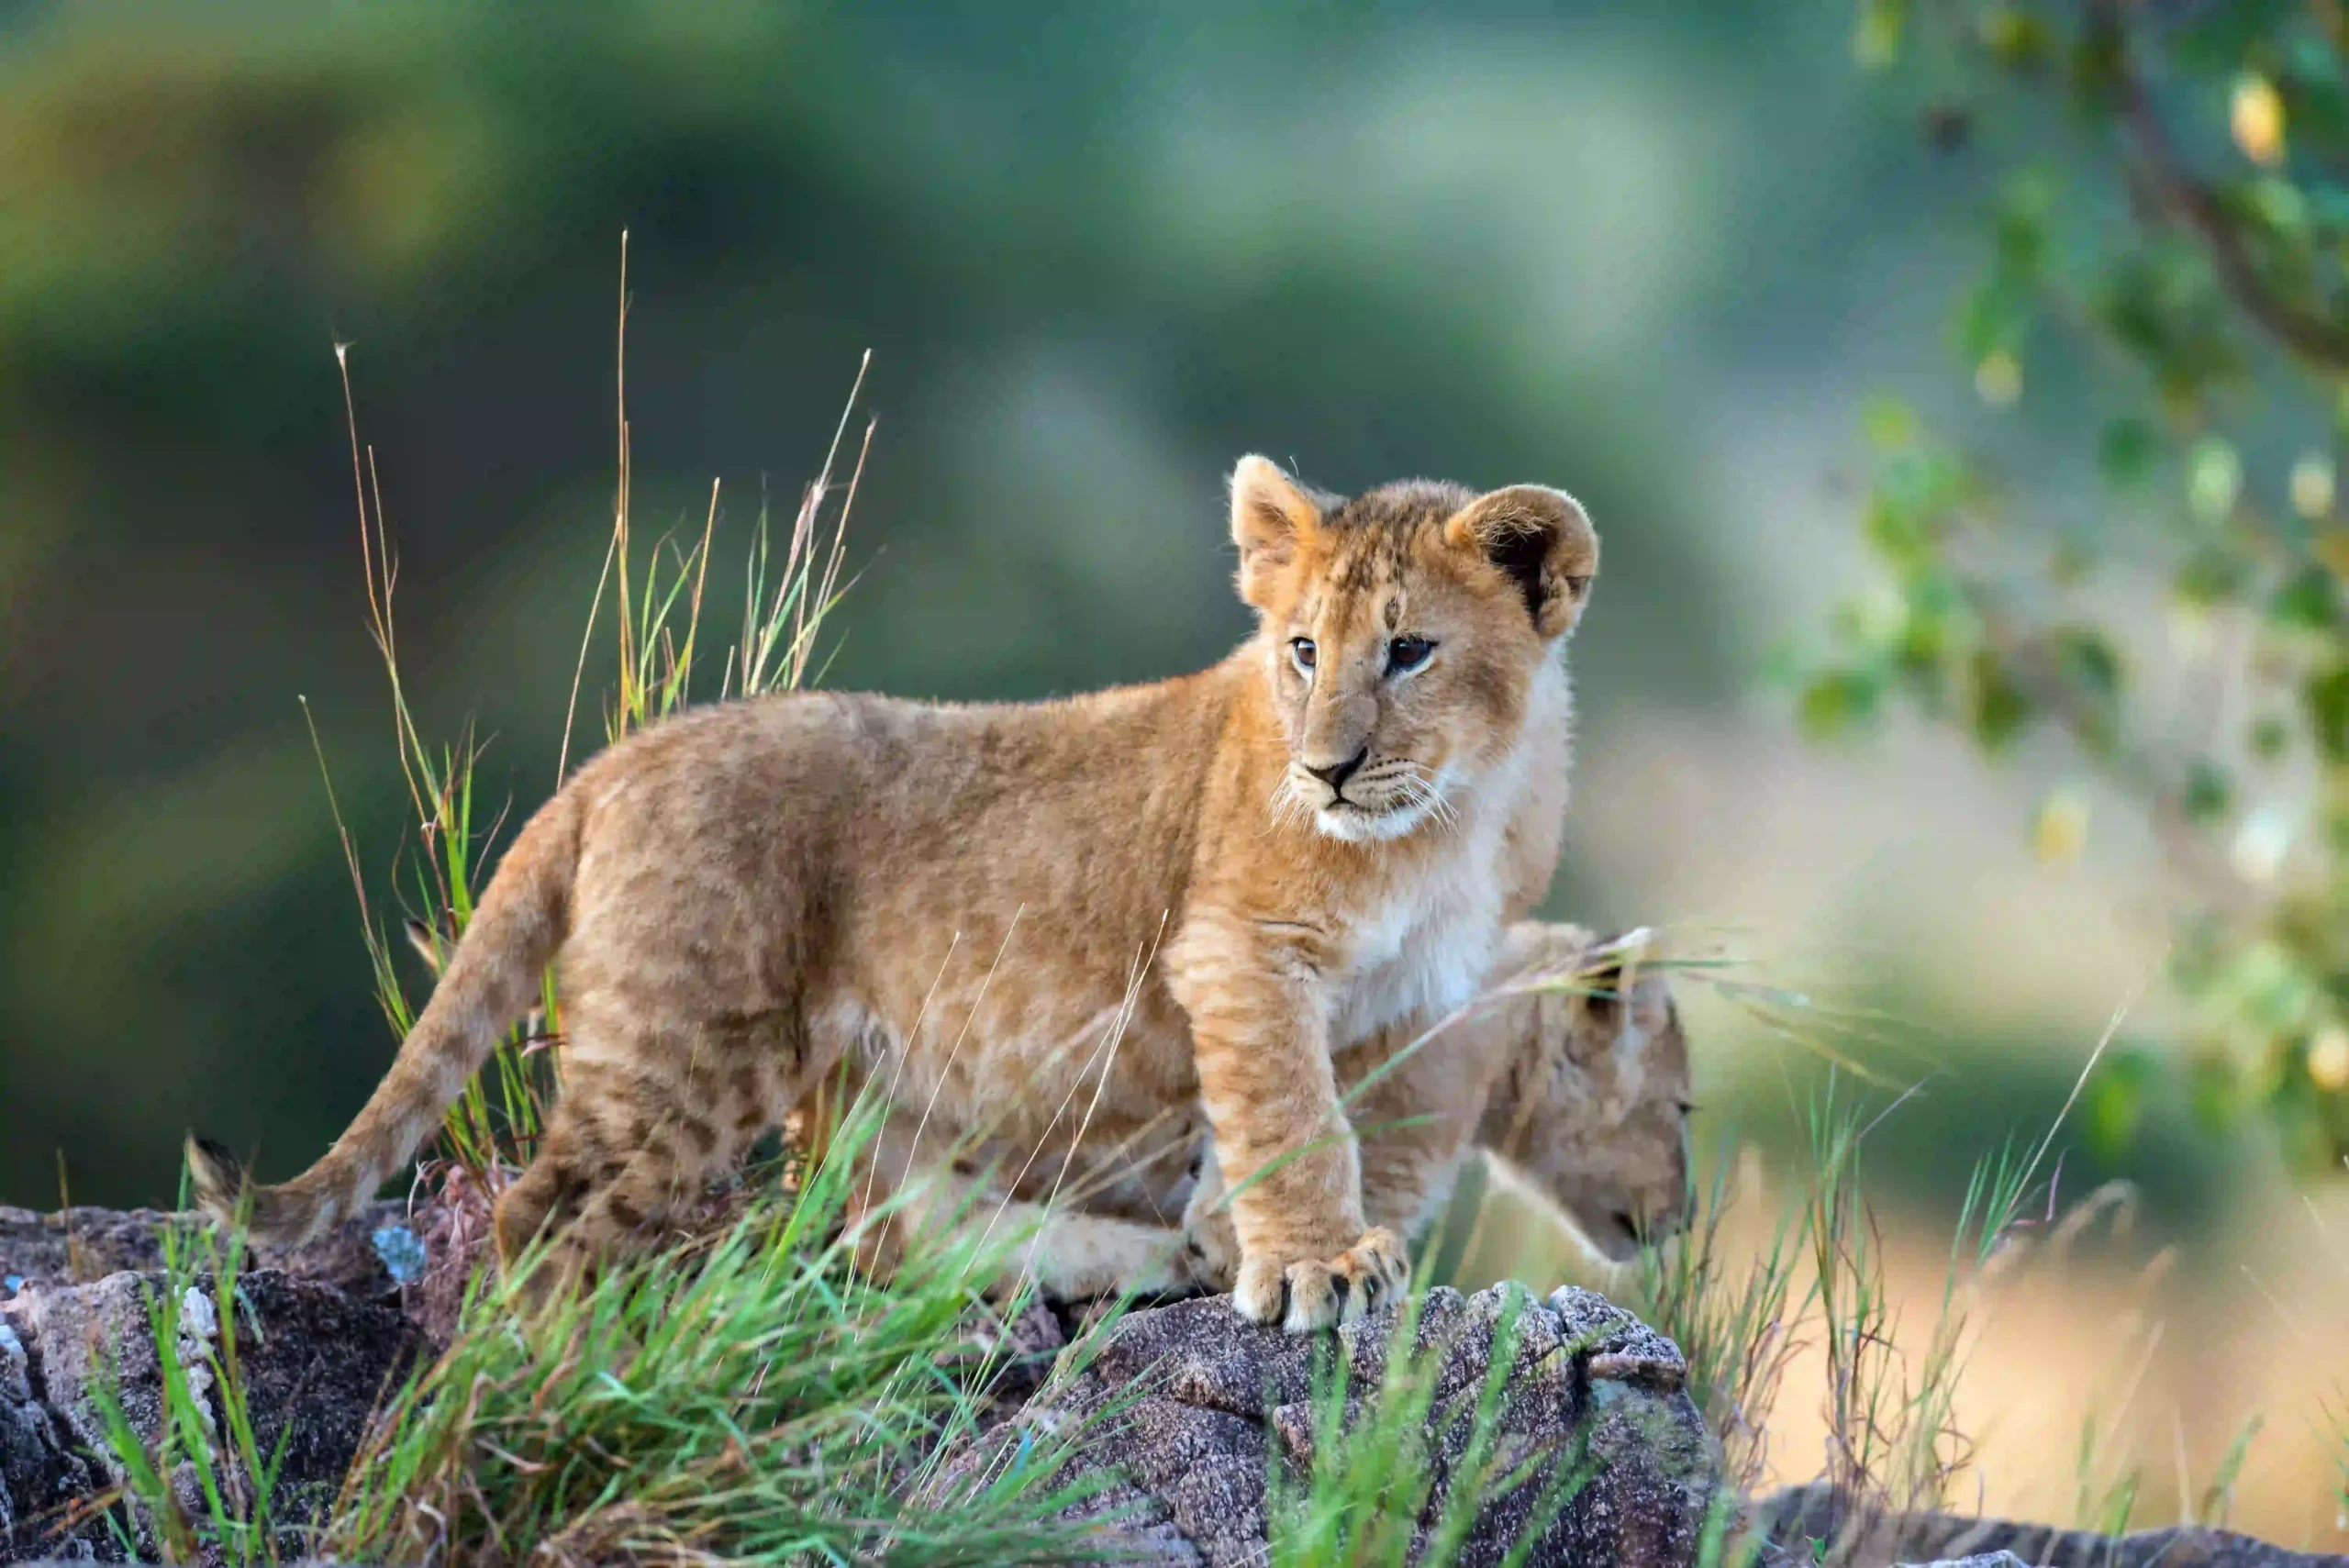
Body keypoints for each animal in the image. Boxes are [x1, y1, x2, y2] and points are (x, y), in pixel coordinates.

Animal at [188, 455, 1597, 1332]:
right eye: (1302, 649)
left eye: (1409, 651)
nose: (1327, 767)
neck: (1449, 819)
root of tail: (612, 764)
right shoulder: (1238, 950)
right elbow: (1293, 1115)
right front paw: (1313, 1269)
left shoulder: (1401, 1000)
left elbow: (1322, 1125)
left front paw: (1260, 1245)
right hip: (690, 1049)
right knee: (547, 1218)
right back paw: (564, 1376)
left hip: (863, 1095)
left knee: (899, 1231)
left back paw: (1136, 1264)